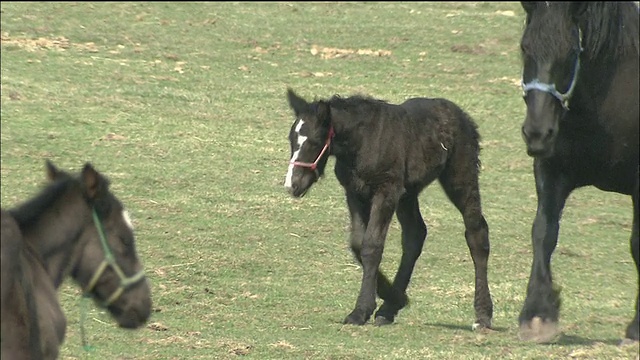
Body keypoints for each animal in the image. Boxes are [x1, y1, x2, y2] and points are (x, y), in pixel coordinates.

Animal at [282, 88, 492, 330]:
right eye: (291, 139)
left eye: (316, 141)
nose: (292, 185)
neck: (363, 141)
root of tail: (464, 117)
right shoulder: (354, 193)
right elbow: (357, 243)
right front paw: (392, 299)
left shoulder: (386, 192)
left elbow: (372, 245)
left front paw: (360, 311)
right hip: (408, 193)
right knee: (415, 235)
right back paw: (390, 307)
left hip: (459, 179)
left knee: (476, 232)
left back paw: (483, 316)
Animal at [516, 2, 636, 344]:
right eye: (525, 47)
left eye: (570, 51)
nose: (537, 133)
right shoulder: (551, 170)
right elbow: (543, 232)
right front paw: (538, 314)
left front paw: (635, 328)